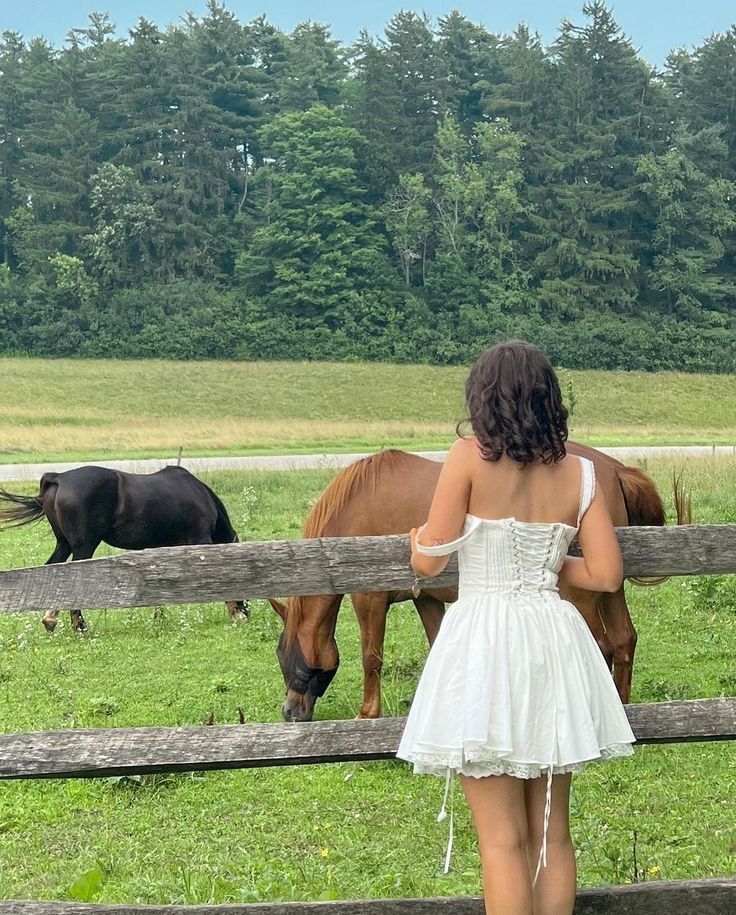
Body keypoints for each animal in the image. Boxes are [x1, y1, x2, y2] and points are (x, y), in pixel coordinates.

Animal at [0, 468, 249, 632]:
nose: (246, 612)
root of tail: (59, 477)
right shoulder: (201, 540)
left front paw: (158, 618)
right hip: (84, 545)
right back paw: (80, 627)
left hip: (64, 544)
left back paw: (50, 620)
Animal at [272, 448, 688, 728]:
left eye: (287, 658)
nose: (290, 712)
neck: (358, 505)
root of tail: (614, 470)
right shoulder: (427, 600)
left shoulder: (368, 599)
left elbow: (371, 658)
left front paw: (367, 714)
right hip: (609, 590)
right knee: (623, 640)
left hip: (581, 598)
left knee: (600, 646)